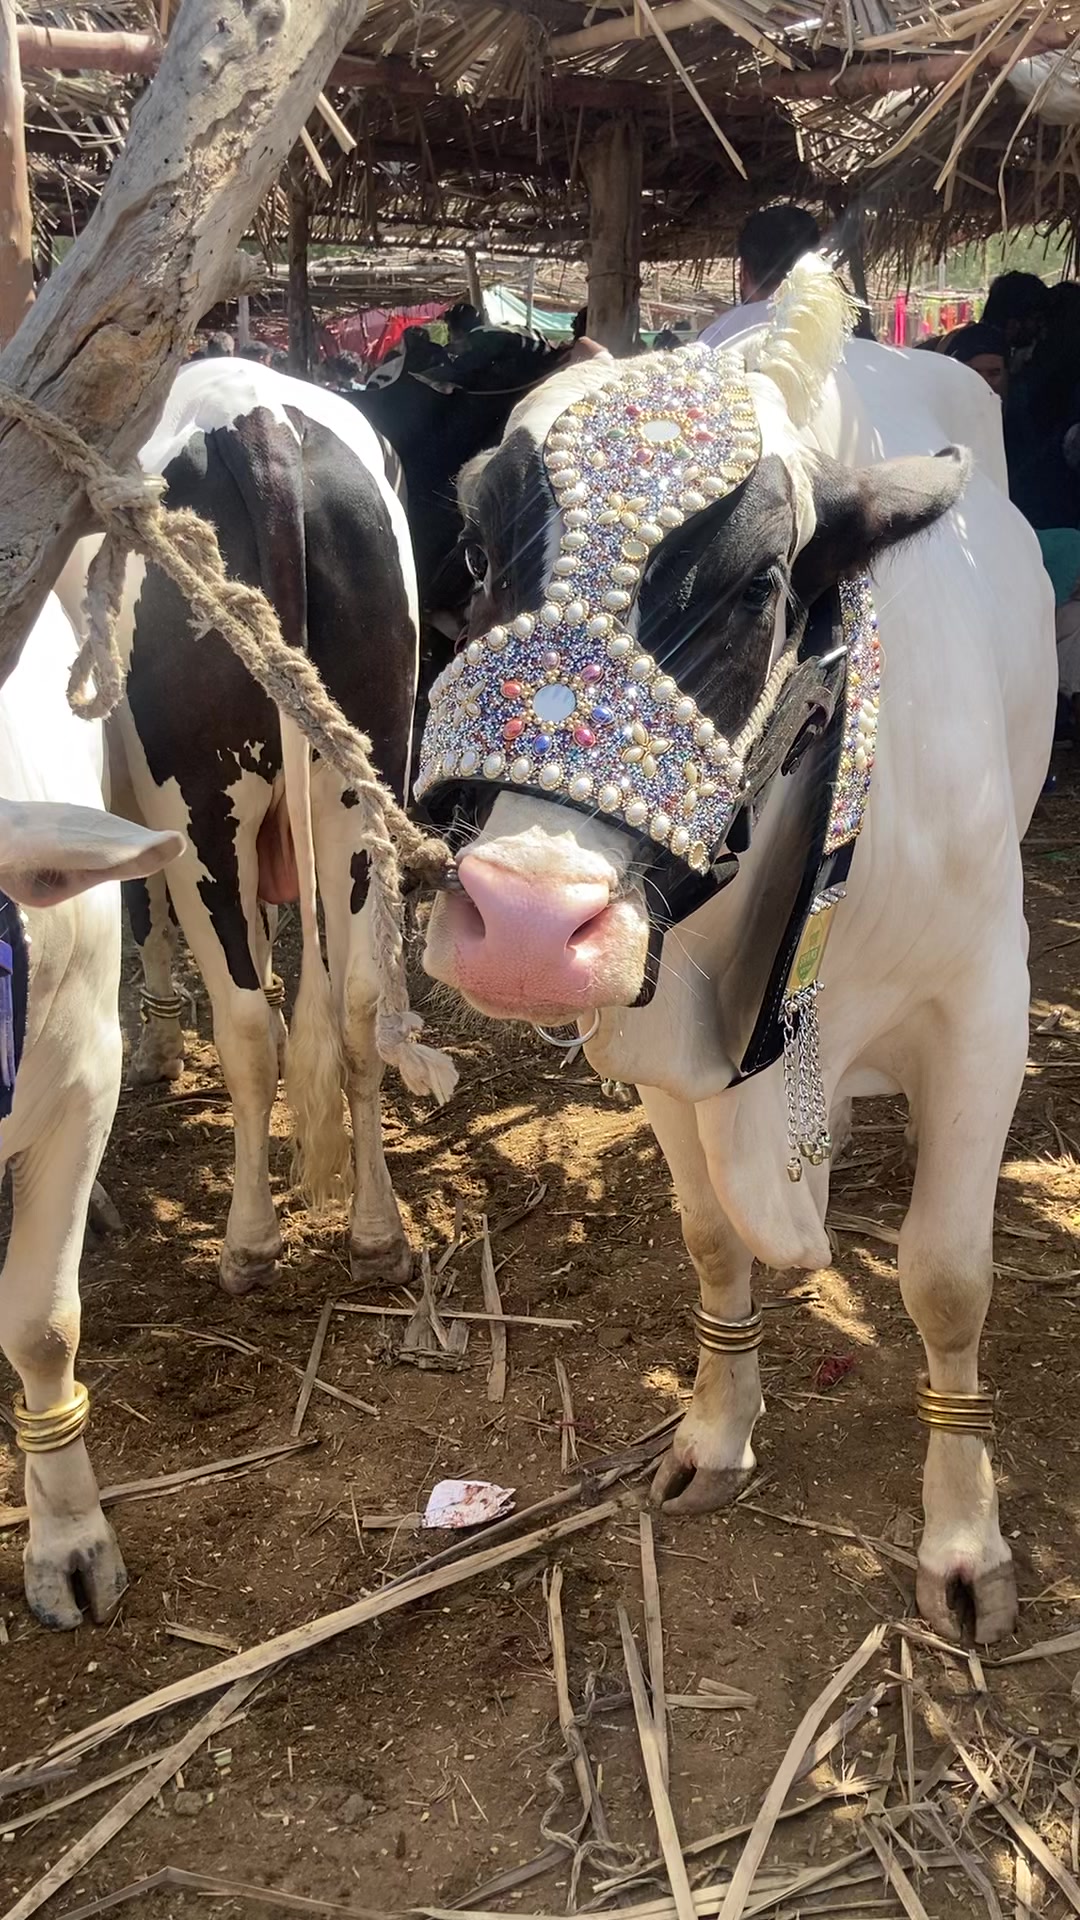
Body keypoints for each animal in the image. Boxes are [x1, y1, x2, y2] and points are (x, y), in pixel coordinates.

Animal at [60, 358, 423, 1296]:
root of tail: (256, 422)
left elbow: (147, 917)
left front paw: (157, 1043)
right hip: (355, 784)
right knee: (358, 1003)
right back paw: (378, 1234)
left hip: (197, 804)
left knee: (249, 1026)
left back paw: (249, 1241)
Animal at [415, 259, 1057, 1645]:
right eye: (478, 554)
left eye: (760, 587)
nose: (529, 927)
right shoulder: (656, 1041)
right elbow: (712, 1240)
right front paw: (716, 1433)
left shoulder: (988, 1009)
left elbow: (947, 1279)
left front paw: (964, 1538)